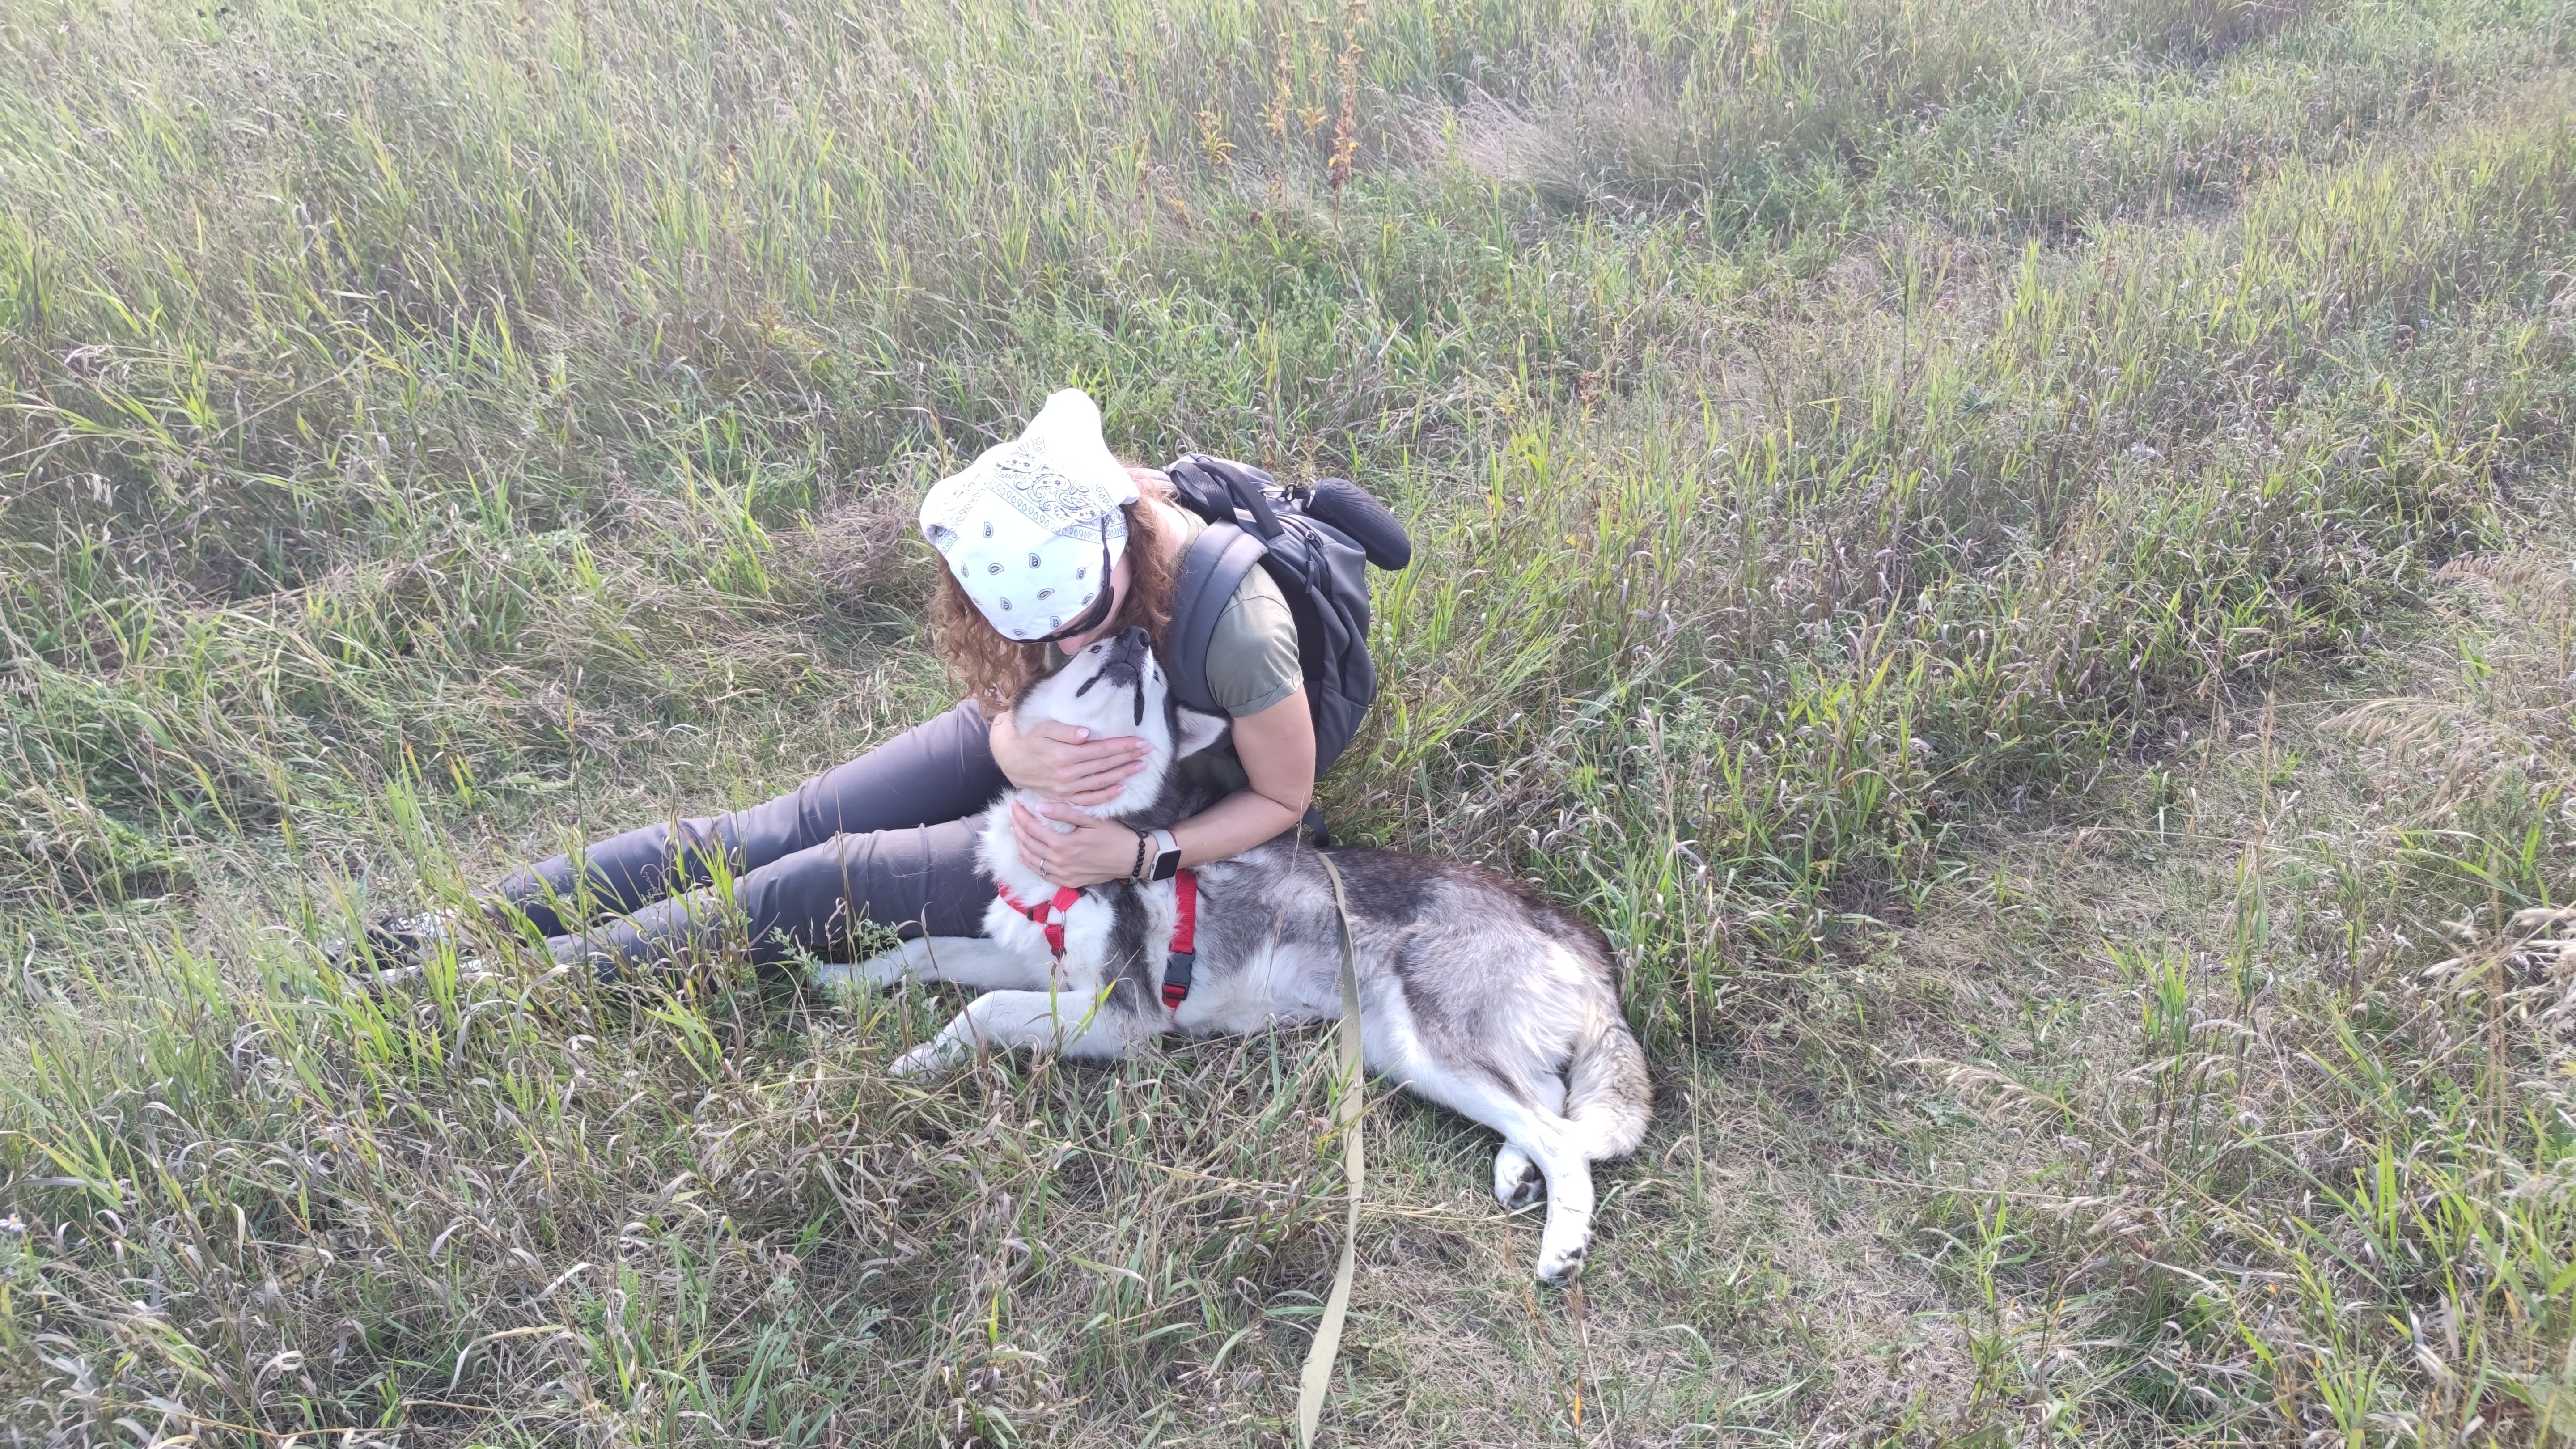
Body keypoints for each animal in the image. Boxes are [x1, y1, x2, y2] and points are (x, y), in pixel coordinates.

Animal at [829, 621, 1669, 1273]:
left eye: (1156, 677)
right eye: (1096, 647)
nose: (1136, 637)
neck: (1080, 832)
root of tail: (1567, 925)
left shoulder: (1121, 1017)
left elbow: (983, 1009)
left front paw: (916, 1060)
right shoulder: (1034, 959)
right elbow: (928, 949)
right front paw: (844, 976)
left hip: (1431, 1046)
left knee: (1565, 1140)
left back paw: (1561, 1247)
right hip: (1414, 1054)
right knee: (1550, 1105)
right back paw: (1515, 1173)